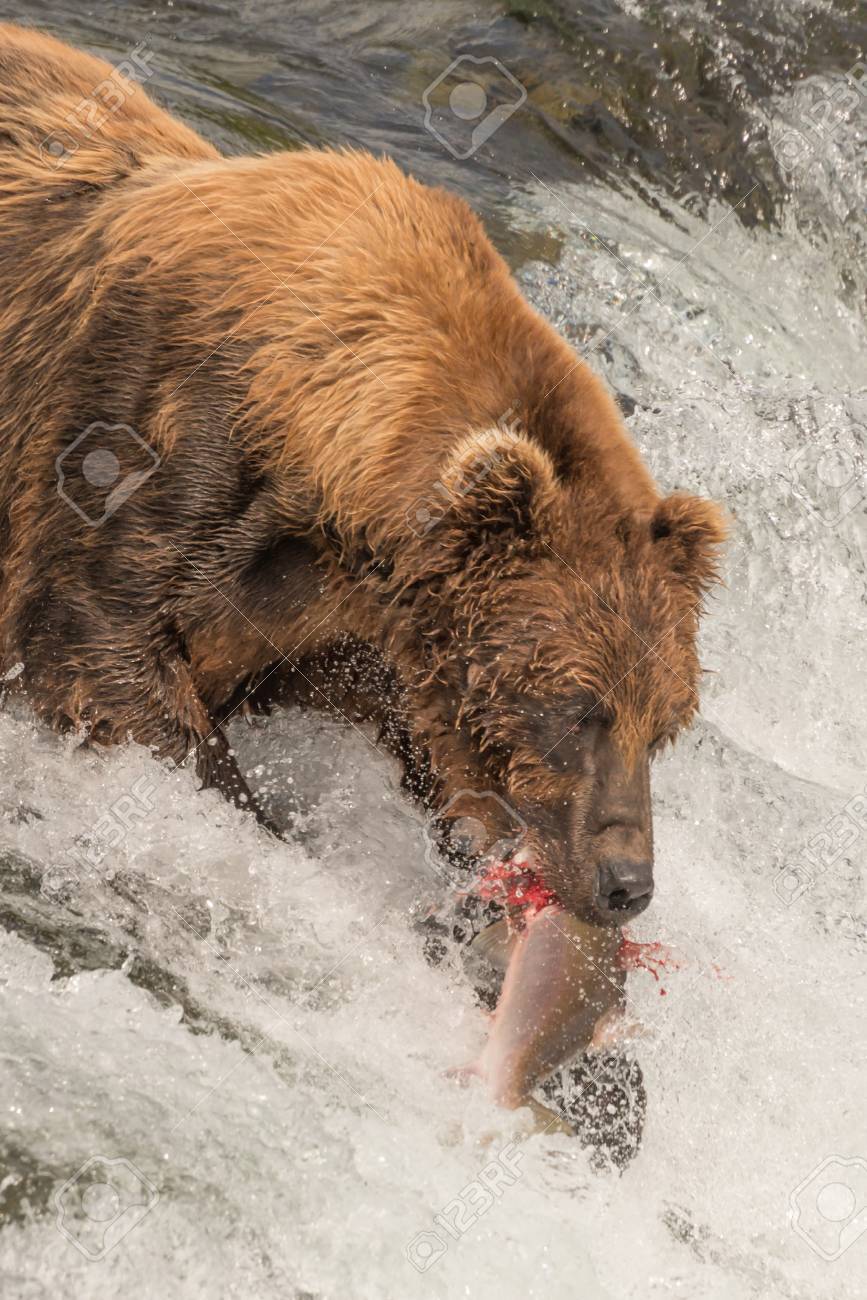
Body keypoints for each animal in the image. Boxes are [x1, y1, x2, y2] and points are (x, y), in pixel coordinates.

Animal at [0, 25, 727, 920]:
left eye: (663, 724)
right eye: (575, 708)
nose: (626, 883)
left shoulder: (345, 621)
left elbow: (408, 726)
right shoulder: (146, 437)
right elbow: (99, 650)